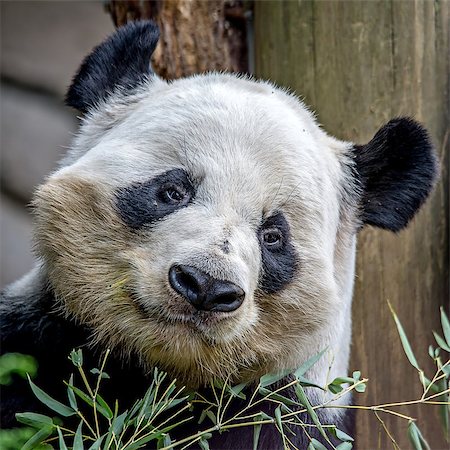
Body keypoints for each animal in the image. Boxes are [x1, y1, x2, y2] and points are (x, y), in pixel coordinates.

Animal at [0, 19, 436, 448]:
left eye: (273, 236)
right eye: (173, 191)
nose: (205, 286)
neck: (163, 377)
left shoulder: (288, 412)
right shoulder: (40, 341)